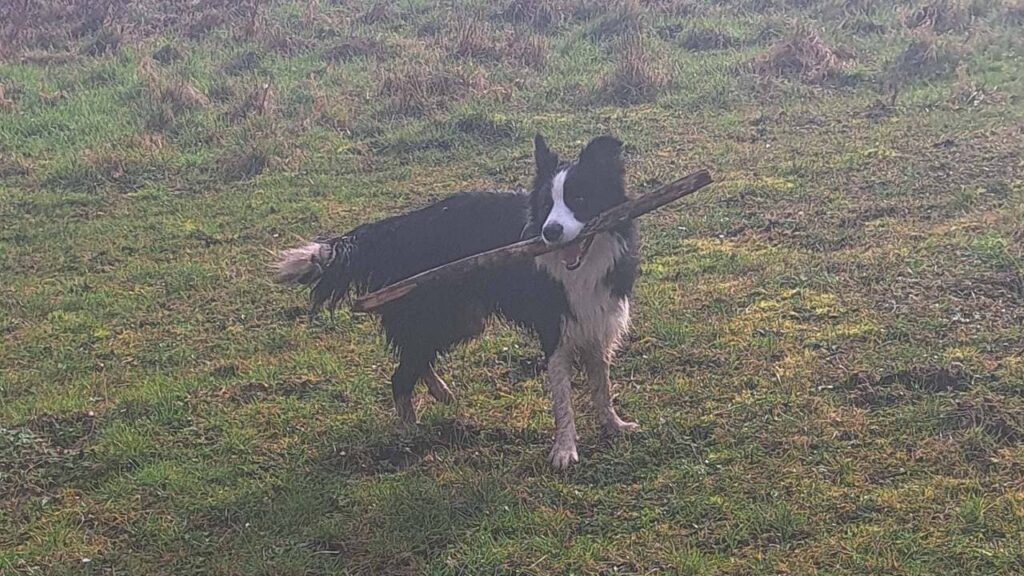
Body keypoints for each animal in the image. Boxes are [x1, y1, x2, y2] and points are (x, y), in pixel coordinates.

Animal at [272, 134, 638, 467]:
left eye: (579, 198)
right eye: (547, 206)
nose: (550, 232)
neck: (584, 263)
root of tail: (401, 228)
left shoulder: (598, 321)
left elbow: (601, 386)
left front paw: (613, 426)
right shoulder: (555, 330)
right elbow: (563, 399)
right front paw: (564, 450)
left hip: (460, 320)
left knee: (416, 358)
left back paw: (440, 393)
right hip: (436, 314)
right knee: (400, 376)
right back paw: (411, 432)